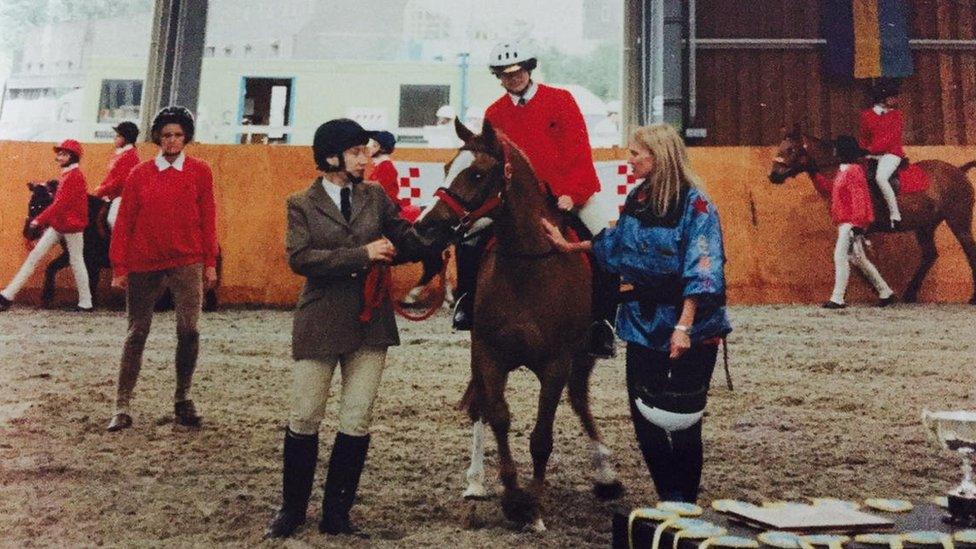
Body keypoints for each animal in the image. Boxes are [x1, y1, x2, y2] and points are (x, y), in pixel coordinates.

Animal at [22, 180, 221, 308]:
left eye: (36, 206)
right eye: (31, 204)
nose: (27, 232)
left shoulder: (89, 259)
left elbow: (88, 279)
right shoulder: (77, 256)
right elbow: (53, 267)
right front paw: (48, 297)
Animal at [414, 119, 624, 528]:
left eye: (478, 174)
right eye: (446, 167)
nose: (425, 227)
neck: (527, 266)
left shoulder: (556, 364)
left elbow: (542, 437)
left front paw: (535, 503)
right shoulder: (489, 356)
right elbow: (497, 416)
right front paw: (512, 496)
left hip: (583, 355)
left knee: (579, 399)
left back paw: (606, 474)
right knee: (481, 406)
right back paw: (476, 481)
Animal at [772, 126, 976, 302]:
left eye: (791, 149)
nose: (773, 175)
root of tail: (959, 171)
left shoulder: (856, 227)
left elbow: (855, 260)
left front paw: (878, 290)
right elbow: (856, 260)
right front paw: (879, 290)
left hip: (958, 221)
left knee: (969, 250)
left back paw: (972, 298)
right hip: (925, 226)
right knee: (930, 255)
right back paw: (910, 294)